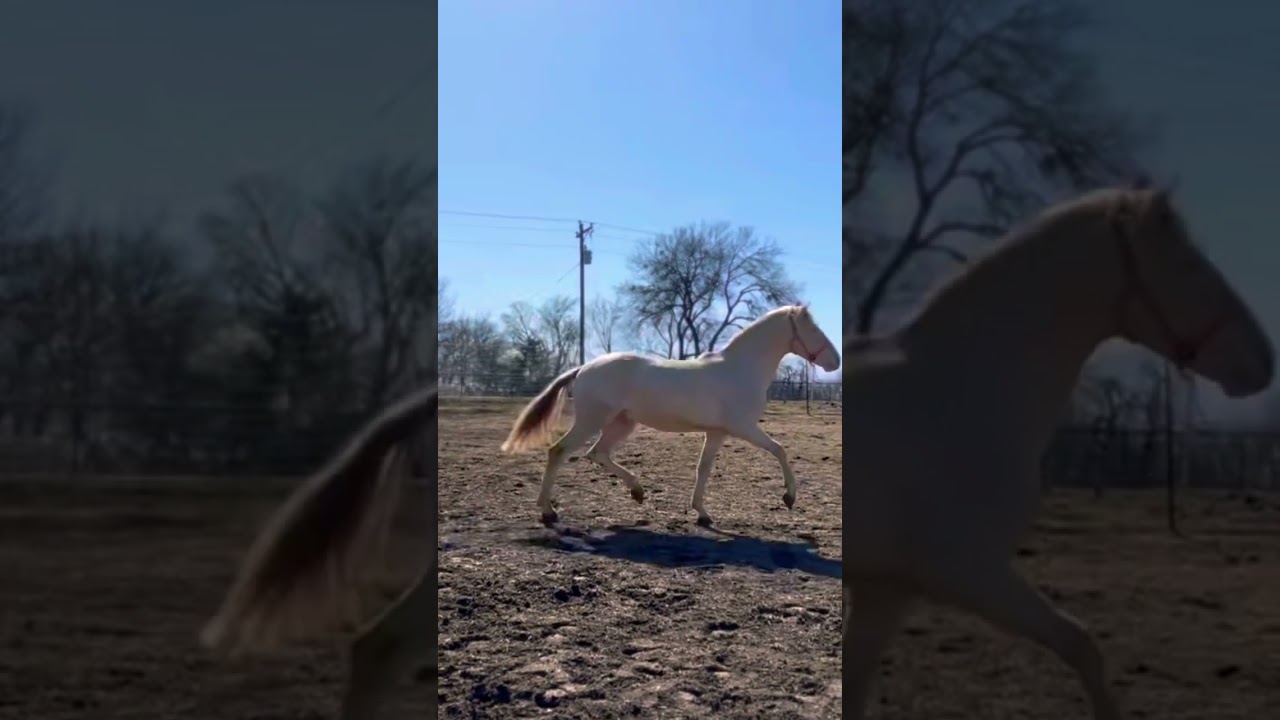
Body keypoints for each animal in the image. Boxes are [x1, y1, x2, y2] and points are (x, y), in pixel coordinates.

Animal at [500, 304, 841, 527]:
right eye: (813, 328)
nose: (835, 361)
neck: (740, 369)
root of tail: (583, 368)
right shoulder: (743, 427)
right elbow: (780, 450)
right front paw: (789, 498)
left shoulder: (717, 432)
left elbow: (703, 469)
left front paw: (702, 514)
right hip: (591, 420)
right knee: (558, 451)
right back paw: (548, 511)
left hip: (622, 422)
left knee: (597, 454)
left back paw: (637, 492)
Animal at [840, 186, 1274, 719]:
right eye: (1189, 265)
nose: (1264, 361)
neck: (957, 393)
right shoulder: (972, 576)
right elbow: (1081, 645)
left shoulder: (886, 591)